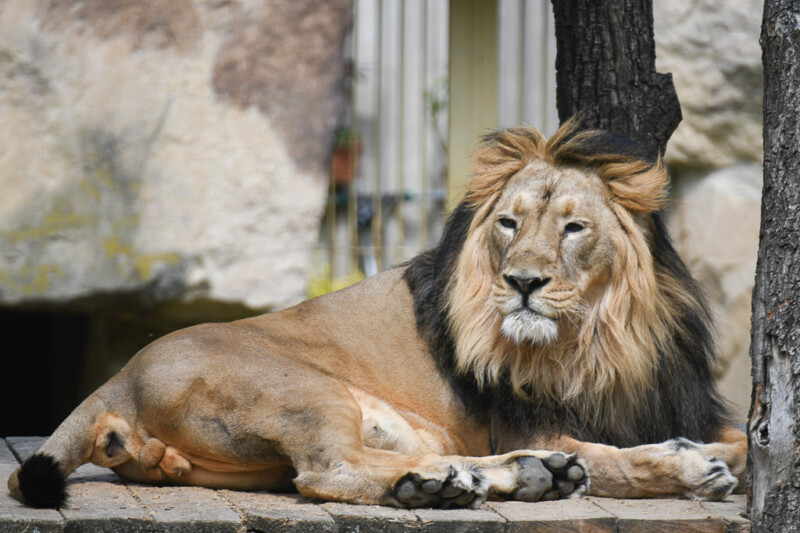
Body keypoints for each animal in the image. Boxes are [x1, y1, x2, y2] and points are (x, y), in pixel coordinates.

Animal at [8, 118, 746, 510]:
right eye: (508, 223)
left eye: (573, 228)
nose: (522, 283)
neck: (602, 339)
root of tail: (123, 374)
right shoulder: (534, 417)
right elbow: (629, 458)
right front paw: (690, 465)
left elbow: (737, 435)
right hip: (306, 392)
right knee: (326, 471)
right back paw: (468, 482)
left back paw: (513, 475)